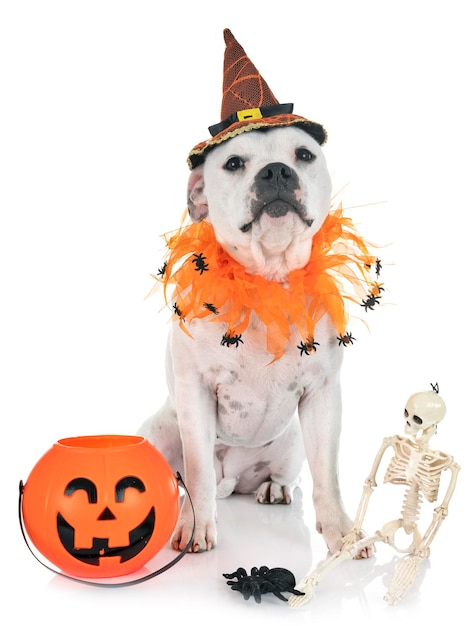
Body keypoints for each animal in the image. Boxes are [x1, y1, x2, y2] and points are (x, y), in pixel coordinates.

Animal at [138, 125, 360, 552]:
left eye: (304, 155)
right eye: (233, 163)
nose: (276, 171)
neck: (267, 278)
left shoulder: (323, 394)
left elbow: (328, 474)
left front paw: (342, 532)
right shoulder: (196, 391)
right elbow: (198, 472)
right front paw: (195, 527)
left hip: (292, 445)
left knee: (285, 476)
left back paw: (274, 489)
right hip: (154, 435)